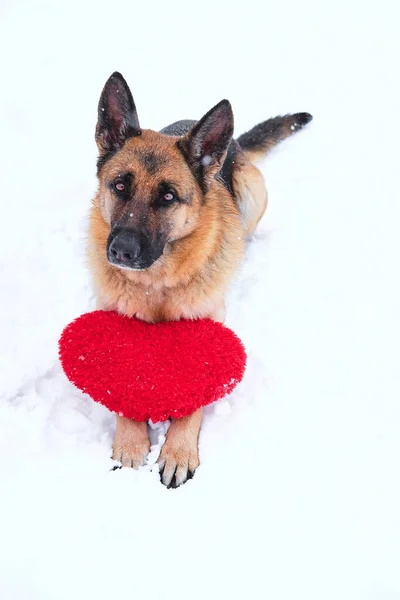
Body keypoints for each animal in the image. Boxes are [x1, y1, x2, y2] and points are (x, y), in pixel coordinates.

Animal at [88, 74, 312, 488]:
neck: (156, 286)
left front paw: (178, 451)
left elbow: (193, 404)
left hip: (253, 194)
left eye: (168, 197)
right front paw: (131, 444)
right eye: (120, 186)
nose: (121, 251)